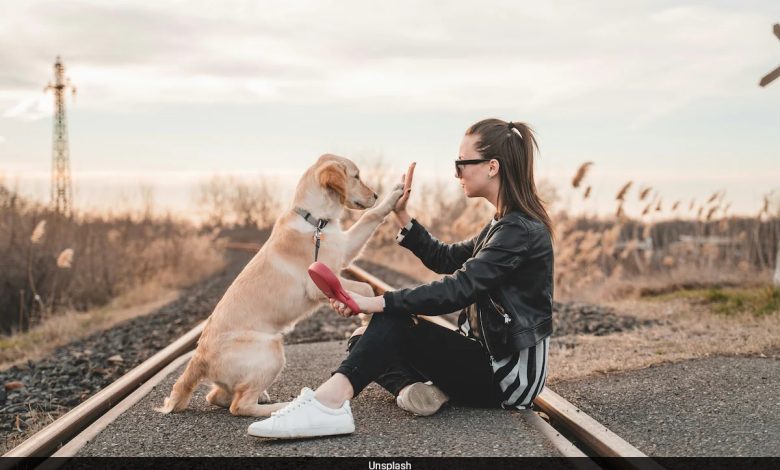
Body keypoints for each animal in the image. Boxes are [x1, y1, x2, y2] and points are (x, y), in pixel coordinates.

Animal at [156, 153, 406, 414]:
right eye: (356, 176)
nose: (376, 195)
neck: (316, 221)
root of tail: (199, 357)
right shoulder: (318, 282)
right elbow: (365, 287)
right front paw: (366, 317)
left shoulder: (344, 249)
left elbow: (371, 216)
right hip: (272, 348)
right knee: (240, 405)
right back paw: (283, 406)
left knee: (216, 396)